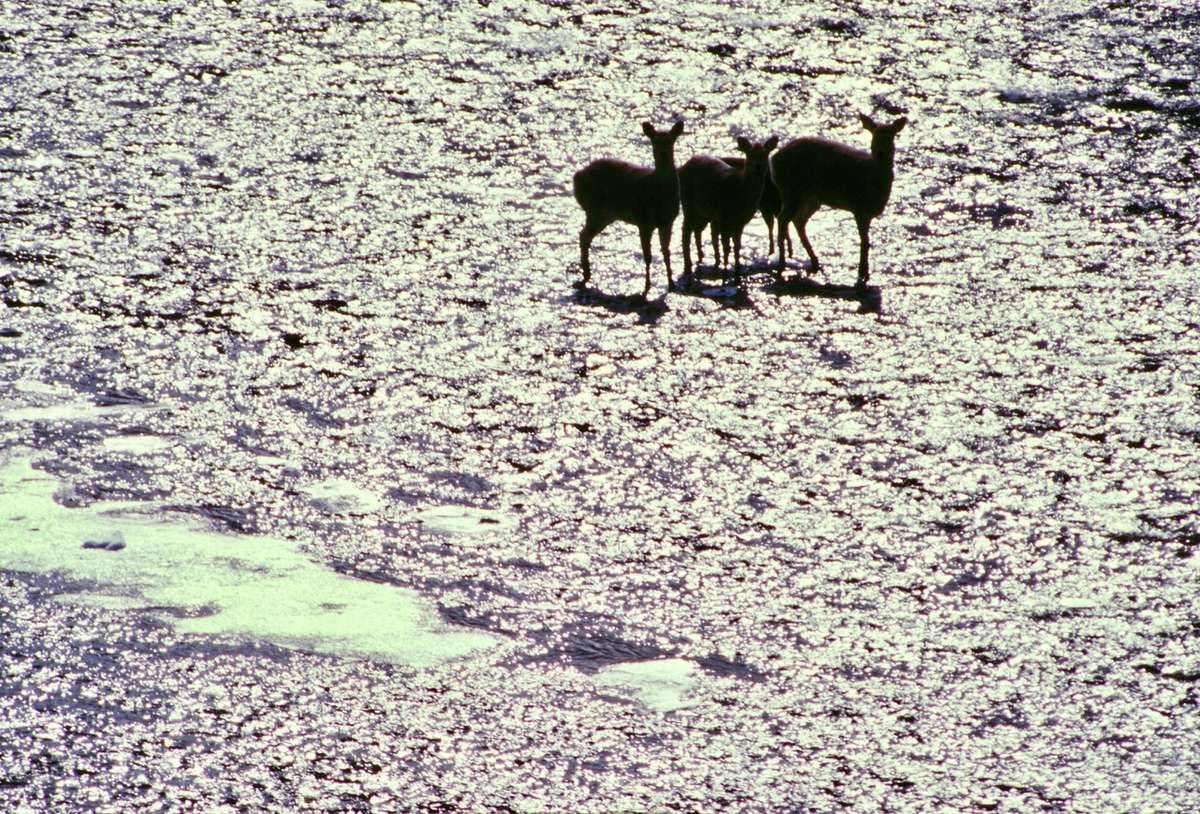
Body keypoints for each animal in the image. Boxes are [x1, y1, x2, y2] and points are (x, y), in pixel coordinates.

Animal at [571, 119, 686, 297]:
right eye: (654, 141)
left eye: (671, 140)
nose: (663, 153)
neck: (659, 195)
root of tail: (577, 177)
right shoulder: (643, 221)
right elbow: (648, 256)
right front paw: (646, 288)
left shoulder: (668, 221)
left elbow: (666, 251)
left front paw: (672, 284)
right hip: (595, 208)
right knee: (584, 235)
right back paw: (585, 276)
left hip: (605, 214)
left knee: (585, 235)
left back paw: (587, 274)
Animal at [681, 138, 782, 292]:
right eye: (750, 154)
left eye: (765, 154)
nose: (757, 166)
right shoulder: (723, 215)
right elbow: (726, 247)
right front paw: (725, 276)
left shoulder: (740, 222)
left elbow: (737, 247)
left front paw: (737, 276)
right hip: (688, 203)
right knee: (685, 232)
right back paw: (688, 268)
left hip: (703, 211)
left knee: (696, 230)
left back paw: (701, 257)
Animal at [772, 114, 902, 286]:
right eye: (874, 135)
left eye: (891, 136)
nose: (879, 152)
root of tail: (773, 160)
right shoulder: (859, 208)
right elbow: (865, 242)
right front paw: (863, 274)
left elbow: (866, 241)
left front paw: (865, 273)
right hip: (790, 189)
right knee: (783, 218)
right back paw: (782, 263)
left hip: (811, 198)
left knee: (798, 220)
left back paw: (814, 261)